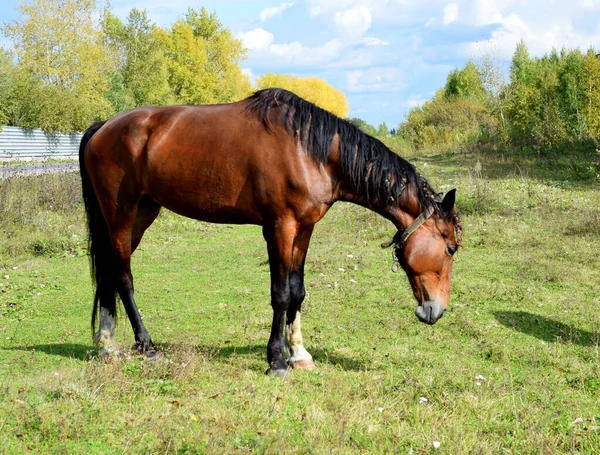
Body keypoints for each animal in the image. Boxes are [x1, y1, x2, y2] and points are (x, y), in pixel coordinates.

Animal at [79, 88, 462, 378]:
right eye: (451, 248)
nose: (436, 311)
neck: (311, 151)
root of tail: (103, 127)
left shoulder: (304, 229)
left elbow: (297, 291)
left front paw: (299, 353)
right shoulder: (280, 227)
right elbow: (280, 294)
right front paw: (277, 360)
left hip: (142, 213)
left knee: (110, 271)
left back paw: (107, 345)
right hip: (121, 214)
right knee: (124, 277)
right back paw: (146, 345)